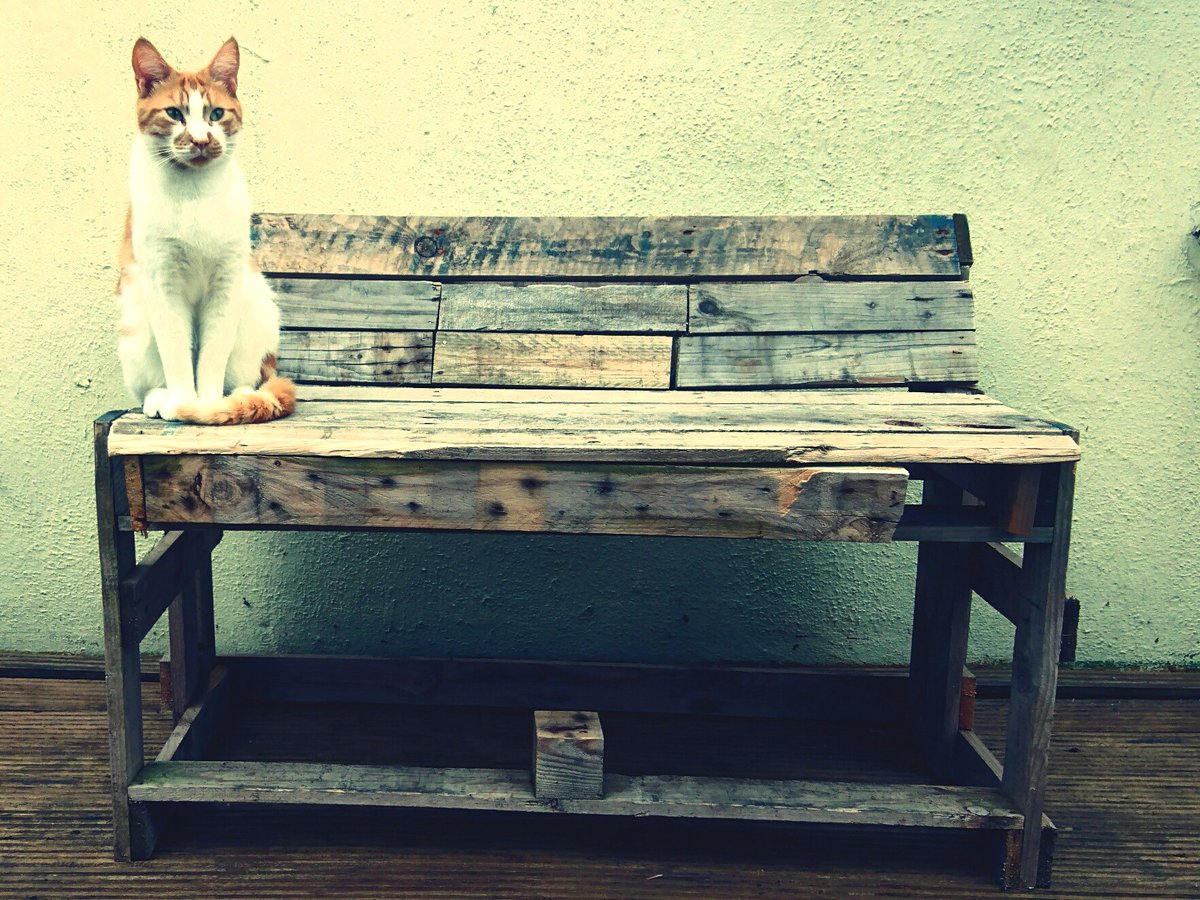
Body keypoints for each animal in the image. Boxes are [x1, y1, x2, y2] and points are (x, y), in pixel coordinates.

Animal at [117, 37, 295, 427]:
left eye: (216, 114)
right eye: (174, 114)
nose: (200, 140)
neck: (194, 192)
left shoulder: (226, 282)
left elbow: (213, 355)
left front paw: (210, 406)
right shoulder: (163, 283)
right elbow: (176, 353)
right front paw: (184, 402)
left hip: (256, 303)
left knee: (251, 376)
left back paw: (240, 396)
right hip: (134, 318)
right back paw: (160, 399)